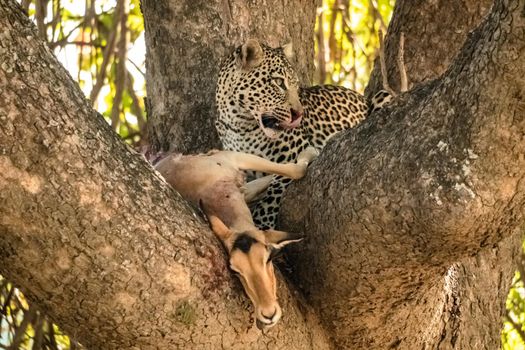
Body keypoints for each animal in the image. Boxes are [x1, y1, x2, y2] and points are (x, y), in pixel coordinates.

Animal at [213, 39, 388, 230]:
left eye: (296, 85)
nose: (298, 114)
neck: (239, 124)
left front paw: (262, 224)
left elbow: (274, 191)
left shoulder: (294, 154)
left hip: (383, 94)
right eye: (278, 82)